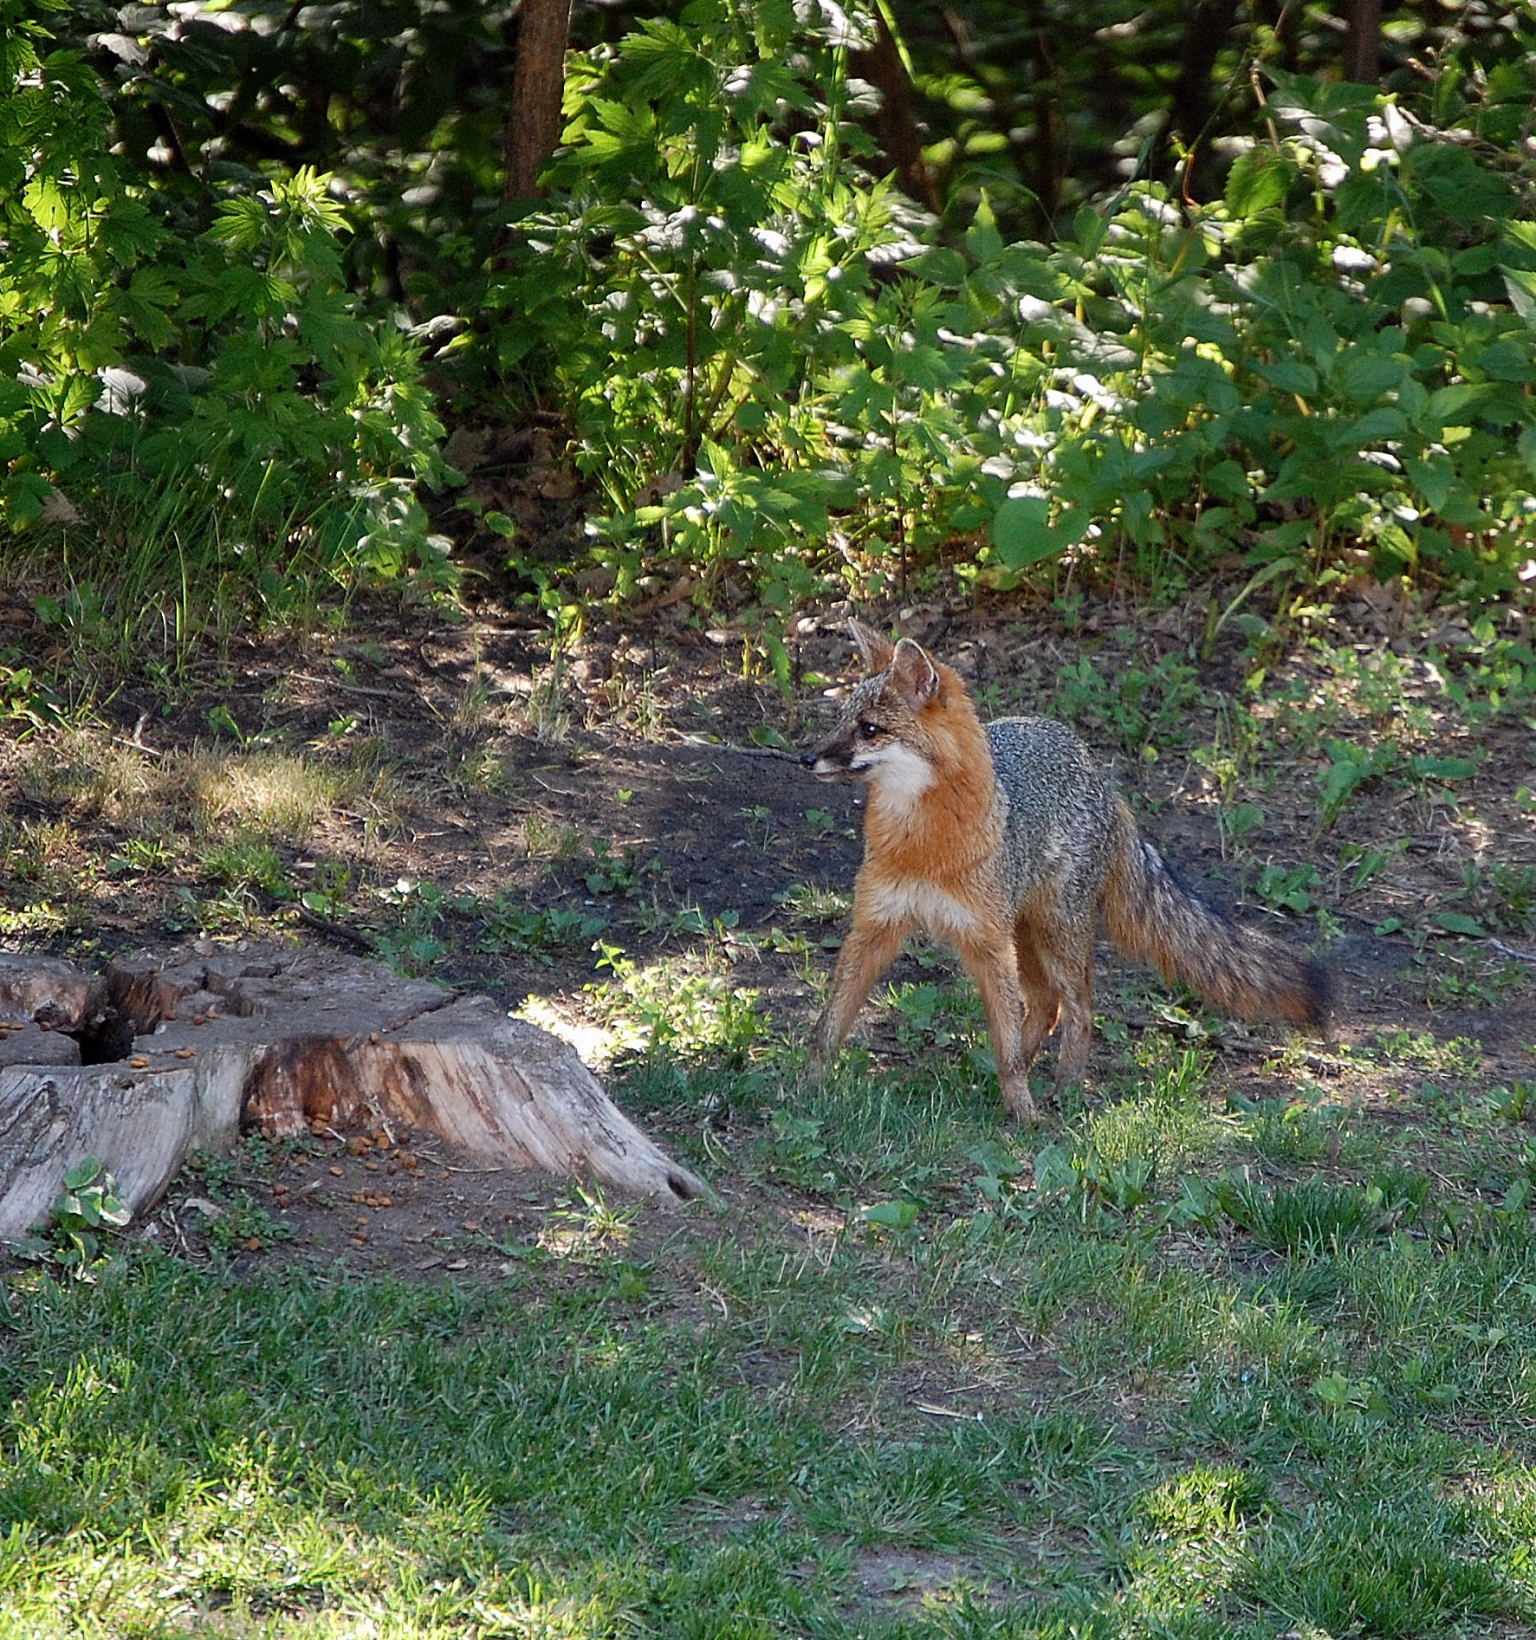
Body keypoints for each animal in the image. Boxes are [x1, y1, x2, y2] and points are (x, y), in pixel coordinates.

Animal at [800, 619, 1332, 1123]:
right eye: (840, 721)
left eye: (869, 729)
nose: (807, 757)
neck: (924, 848)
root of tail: (1101, 777)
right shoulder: (875, 927)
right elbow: (827, 1027)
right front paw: (808, 1089)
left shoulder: (987, 944)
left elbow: (1009, 1045)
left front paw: (1023, 1110)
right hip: (1026, 938)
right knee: (1046, 1006)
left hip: (1056, 936)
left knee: (1079, 1009)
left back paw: (1066, 1089)